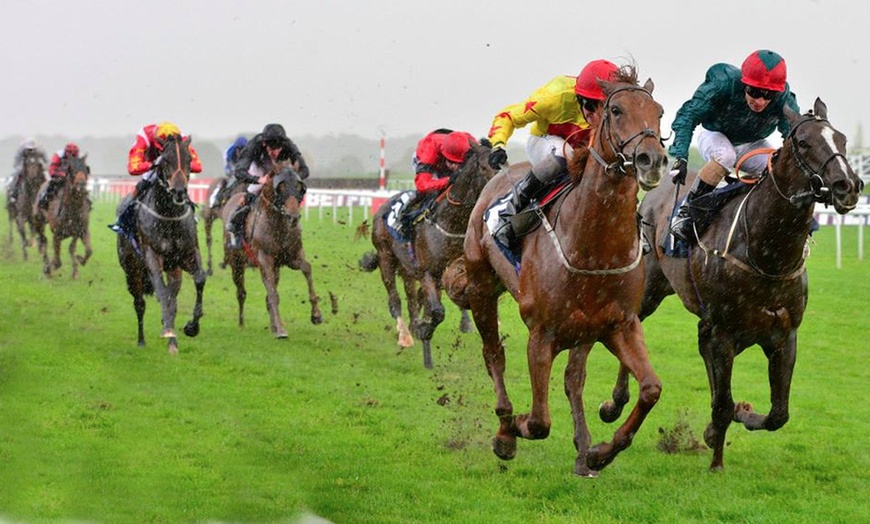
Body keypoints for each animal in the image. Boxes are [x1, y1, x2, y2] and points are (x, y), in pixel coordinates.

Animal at [116, 135, 207, 356]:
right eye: (165, 160)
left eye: (189, 159)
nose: (180, 191)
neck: (169, 217)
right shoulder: (151, 256)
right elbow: (161, 291)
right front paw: (167, 330)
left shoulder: (188, 254)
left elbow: (199, 279)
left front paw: (191, 327)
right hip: (132, 271)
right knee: (140, 302)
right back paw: (143, 340)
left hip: (174, 269)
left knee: (172, 299)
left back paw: (172, 340)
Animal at [221, 168, 324, 340]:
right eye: (280, 187)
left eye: (300, 188)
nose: (293, 217)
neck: (278, 225)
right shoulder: (265, 260)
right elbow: (273, 295)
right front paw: (281, 330)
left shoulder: (291, 258)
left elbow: (307, 269)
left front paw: (316, 314)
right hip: (236, 263)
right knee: (241, 292)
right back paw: (242, 324)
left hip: (275, 268)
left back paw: (272, 326)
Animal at [362, 140, 498, 368]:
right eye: (482, 167)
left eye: (501, 164)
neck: (451, 224)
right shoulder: (428, 273)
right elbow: (437, 311)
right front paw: (424, 331)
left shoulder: (454, 273)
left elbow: (435, 302)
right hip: (386, 257)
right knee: (395, 300)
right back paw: (405, 335)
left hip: (407, 268)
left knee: (411, 297)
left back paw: (414, 324)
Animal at [450, 67, 668, 476]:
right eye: (615, 110)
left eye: (659, 112)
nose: (652, 160)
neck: (594, 248)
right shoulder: (542, 333)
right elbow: (538, 421)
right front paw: (514, 429)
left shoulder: (620, 324)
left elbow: (650, 389)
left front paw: (599, 452)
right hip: (482, 286)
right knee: (493, 354)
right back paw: (505, 428)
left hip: (583, 330)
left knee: (573, 379)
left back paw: (583, 450)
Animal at [608, 98, 864, 470]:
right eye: (804, 143)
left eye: (842, 140)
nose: (848, 185)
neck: (767, 255)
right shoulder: (726, 333)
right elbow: (723, 403)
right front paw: (716, 461)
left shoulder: (783, 335)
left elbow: (778, 414)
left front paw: (734, 420)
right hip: (651, 289)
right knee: (631, 327)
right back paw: (613, 404)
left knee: (702, 344)